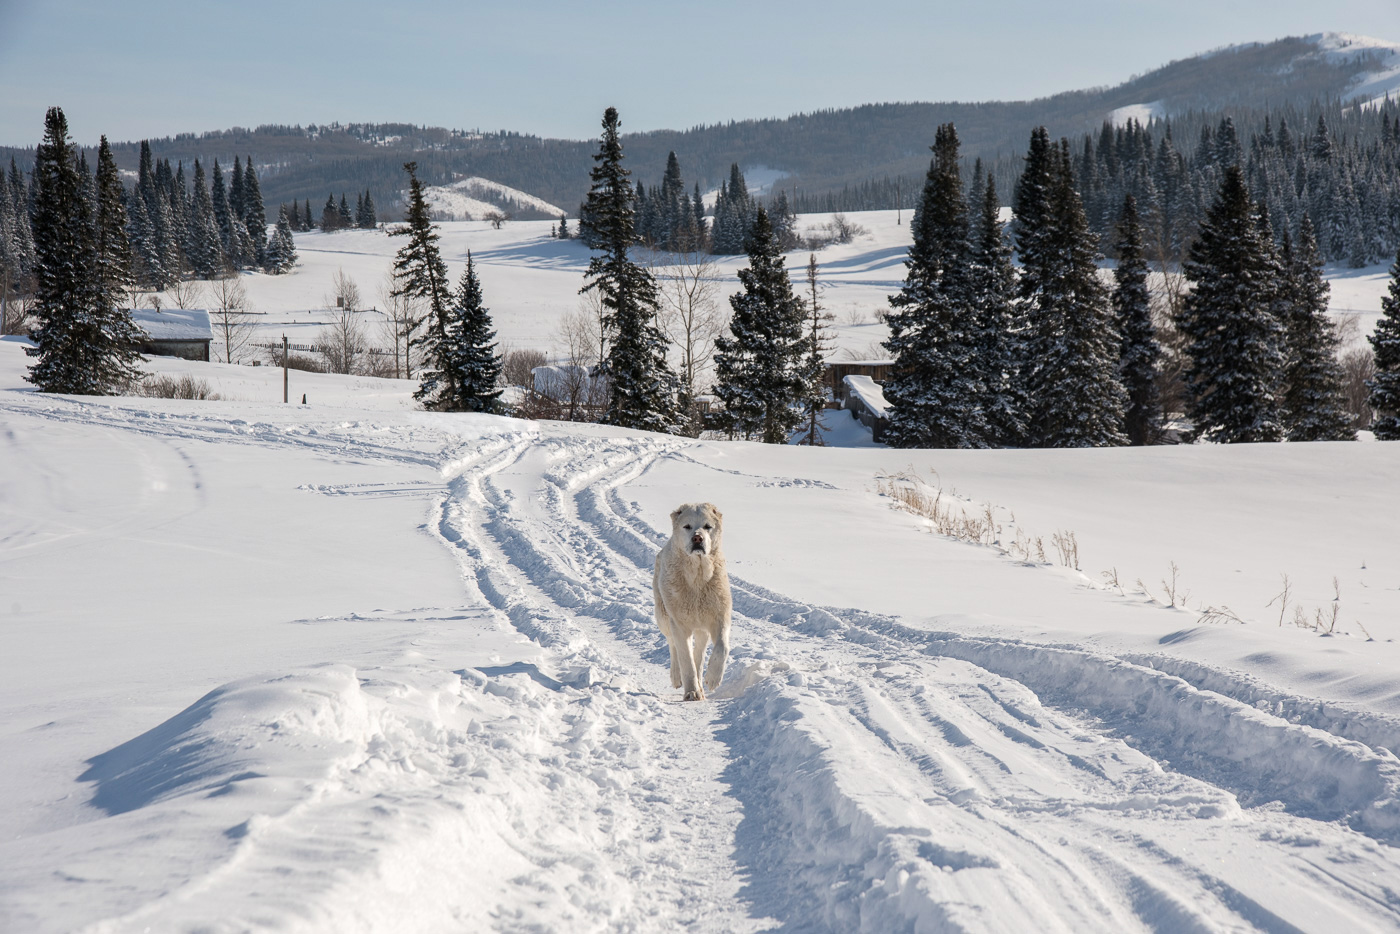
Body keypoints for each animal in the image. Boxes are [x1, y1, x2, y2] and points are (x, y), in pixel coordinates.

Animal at [652, 504, 733, 700]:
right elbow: (685, 659)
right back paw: (677, 677)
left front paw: (713, 678)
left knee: (699, 652)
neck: (697, 576)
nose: (697, 538)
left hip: (701, 625)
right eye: (687, 526)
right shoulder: (679, 623)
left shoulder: (719, 616)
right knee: (672, 645)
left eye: (707, 526)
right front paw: (691, 692)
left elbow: (722, 647)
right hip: (663, 615)